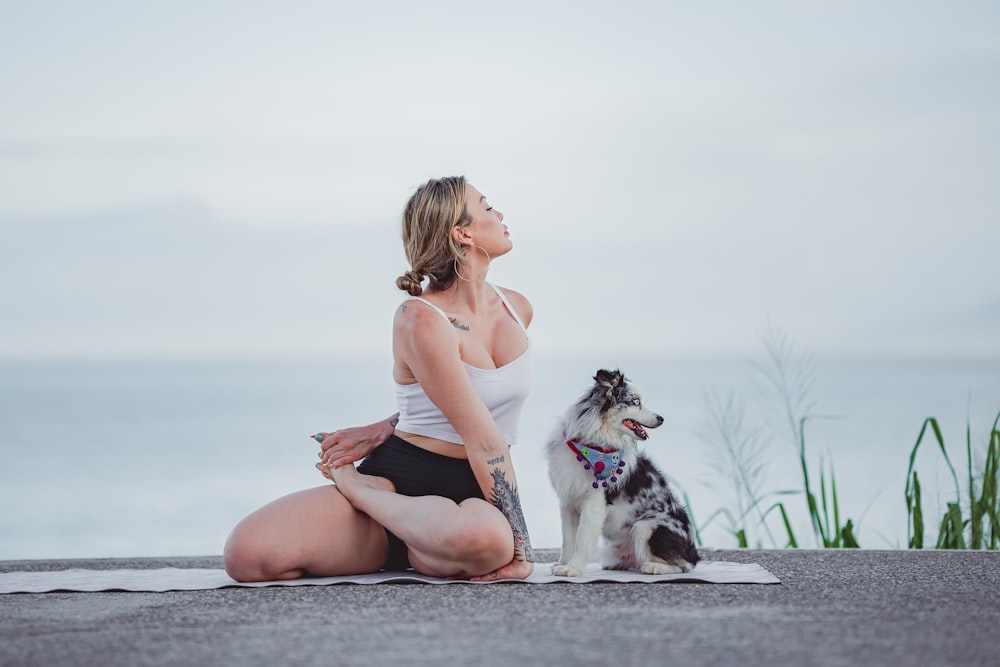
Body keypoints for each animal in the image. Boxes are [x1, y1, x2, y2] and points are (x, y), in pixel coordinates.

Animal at [544, 368, 700, 576]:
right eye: (636, 401)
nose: (661, 419)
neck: (593, 446)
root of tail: (692, 550)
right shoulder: (568, 501)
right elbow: (568, 540)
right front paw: (563, 564)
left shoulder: (595, 502)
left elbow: (582, 539)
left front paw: (573, 568)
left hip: (644, 526)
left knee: (684, 565)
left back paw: (654, 566)